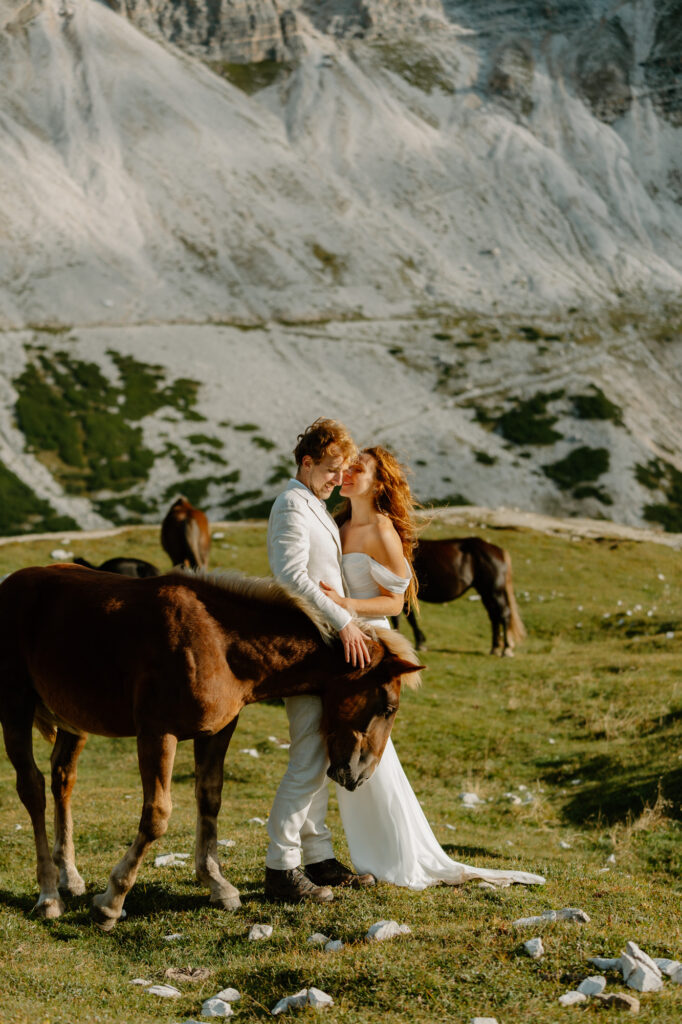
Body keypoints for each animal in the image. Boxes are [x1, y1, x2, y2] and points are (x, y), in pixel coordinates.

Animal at [0, 565, 419, 933]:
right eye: (387, 707)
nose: (360, 775)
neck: (218, 642)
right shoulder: (157, 733)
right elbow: (157, 815)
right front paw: (111, 902)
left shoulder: (217, 732)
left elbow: (210, 800)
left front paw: (216, 883)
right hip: (15, 708)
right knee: (33, 790)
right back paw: (49, 895)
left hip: (74, 724)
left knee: (62, 781)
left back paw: (69, 877)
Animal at [391, 536, 522, 655]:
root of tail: (499, 551)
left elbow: (403, 617)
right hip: (485, 593)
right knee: (494, 616)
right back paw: (495, 647)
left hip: (494, 592)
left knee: (504, 614)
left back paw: (506, 649)